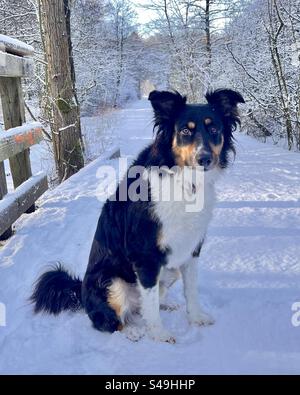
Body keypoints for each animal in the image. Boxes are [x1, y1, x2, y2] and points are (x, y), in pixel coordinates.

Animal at [31, 89, 244, 344]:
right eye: (185, 131)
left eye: (214, 130)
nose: (205, 159)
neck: (184, 181)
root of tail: (80, 291)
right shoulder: (146, 256)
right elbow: (149, 303)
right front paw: (159, 334)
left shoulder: (191, 248)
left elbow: (190, 290)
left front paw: (196, 317)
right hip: (112, 282)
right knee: (108, 320)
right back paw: (131, 330)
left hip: (169, 270)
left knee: (143, 305)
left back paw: (166, 305)